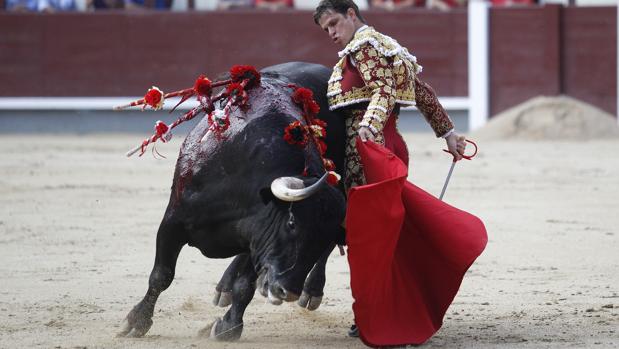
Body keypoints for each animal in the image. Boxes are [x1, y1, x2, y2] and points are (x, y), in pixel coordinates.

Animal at [120, 61, 348, 340]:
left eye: (323, 238)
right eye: (292, 223)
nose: (288, 291)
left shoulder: (258, 237)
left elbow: (245, 286)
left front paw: (228, 327)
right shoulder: (173, 221)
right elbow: (162, 275)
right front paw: (136, 321)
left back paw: (310, 292)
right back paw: (224, 288)